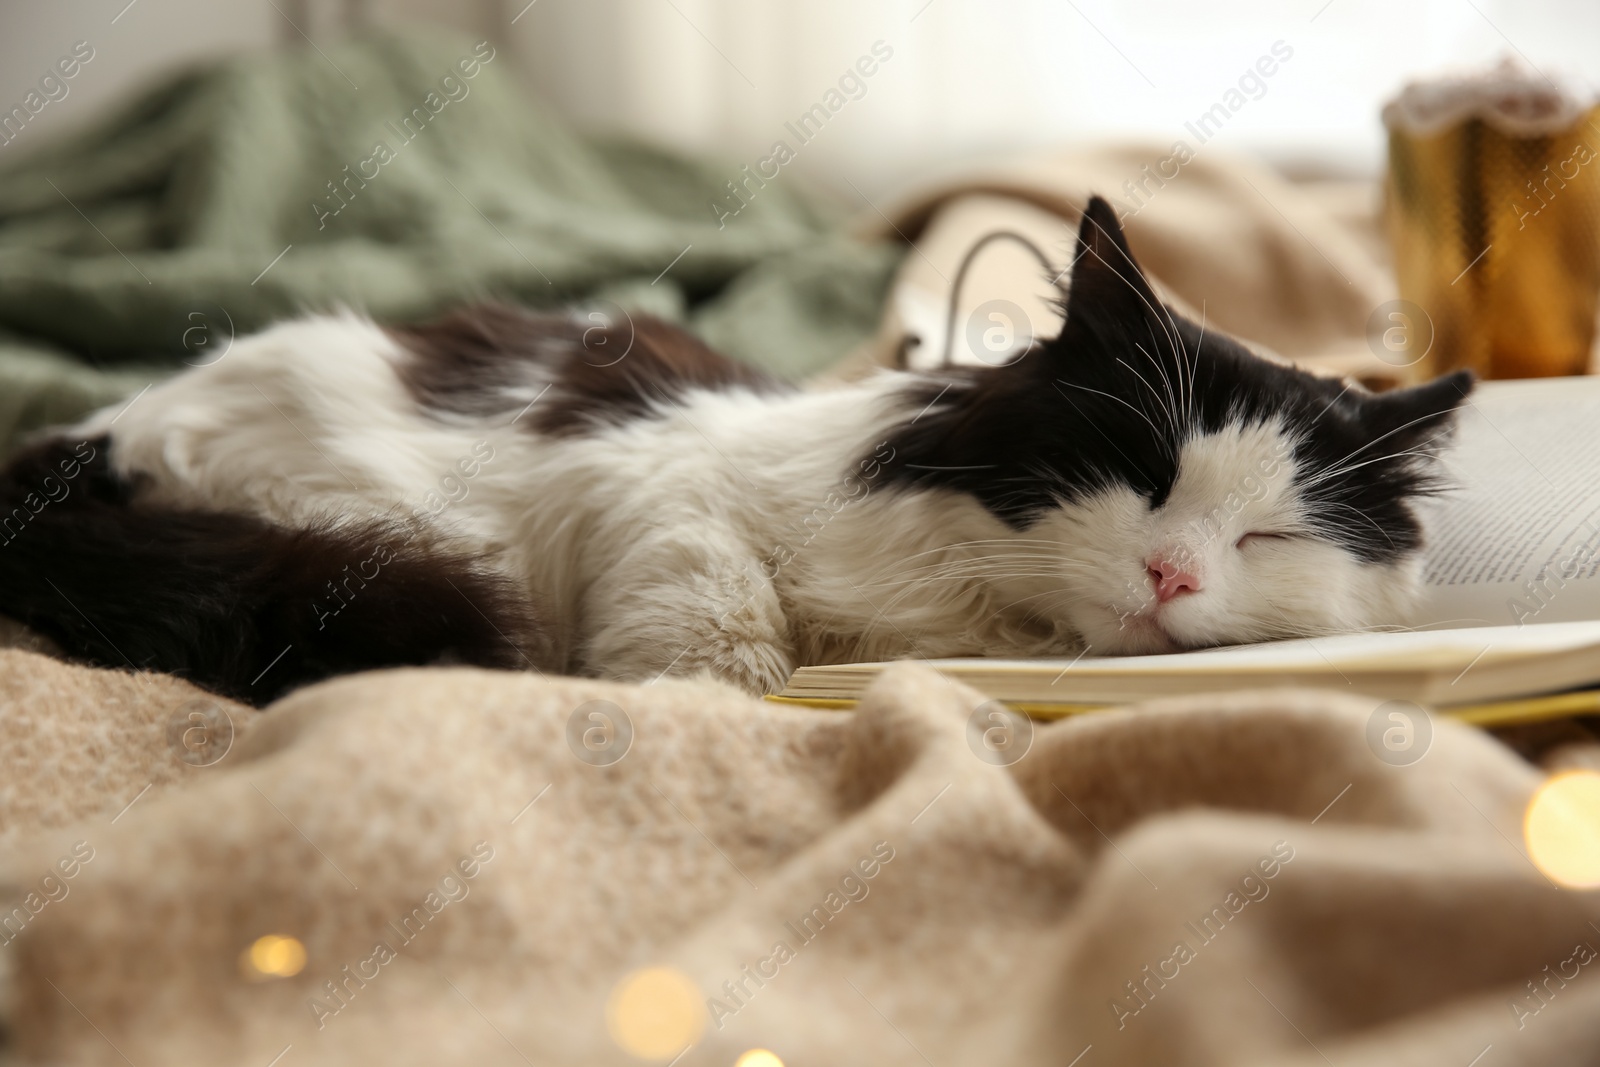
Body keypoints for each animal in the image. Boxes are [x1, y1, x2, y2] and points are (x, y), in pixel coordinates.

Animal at [0, 197, 1472, 703]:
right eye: (1141, 475)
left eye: (1264, 536)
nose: (1169, 576)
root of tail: (81, 443)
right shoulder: (656, 481)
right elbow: (720, 618)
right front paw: (711, 698)